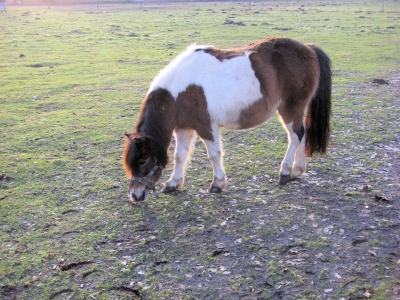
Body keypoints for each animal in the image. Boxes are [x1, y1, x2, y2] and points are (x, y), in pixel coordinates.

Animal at [122, 37, 332, 202]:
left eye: (142, 160)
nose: (134, 195)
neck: (181, 88)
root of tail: (308, 48)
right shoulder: (183, 128)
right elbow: (179, 156)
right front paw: (173, 183)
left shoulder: (206, 127)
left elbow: (214, 154)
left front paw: (217, 184)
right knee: (301, 134)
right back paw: (297, 170)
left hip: (290, 108)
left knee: (295, 135)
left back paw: (286, 172)